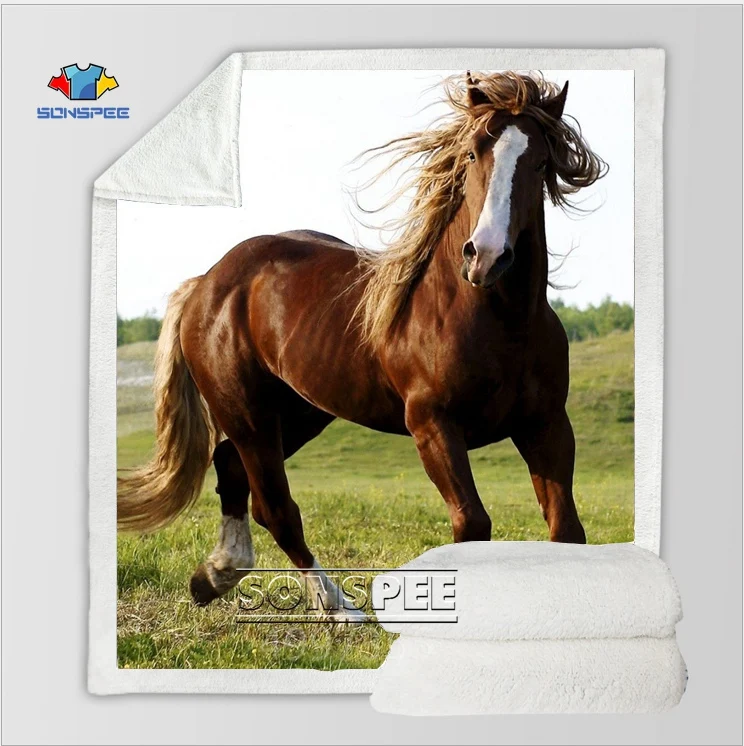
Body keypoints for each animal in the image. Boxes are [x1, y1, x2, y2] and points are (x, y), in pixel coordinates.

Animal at [118, 71, 607, 618]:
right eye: (472, 153)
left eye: (541, 162)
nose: (486, 257)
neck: (497, 321)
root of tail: (207, 282)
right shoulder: (434, 426)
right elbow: (472, 524)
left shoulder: (546, 425)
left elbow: (566, 529)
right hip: (248, 415)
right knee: (275, 507)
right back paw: (336, 608)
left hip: (300, 412)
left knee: (230, 469)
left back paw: (215, 576)